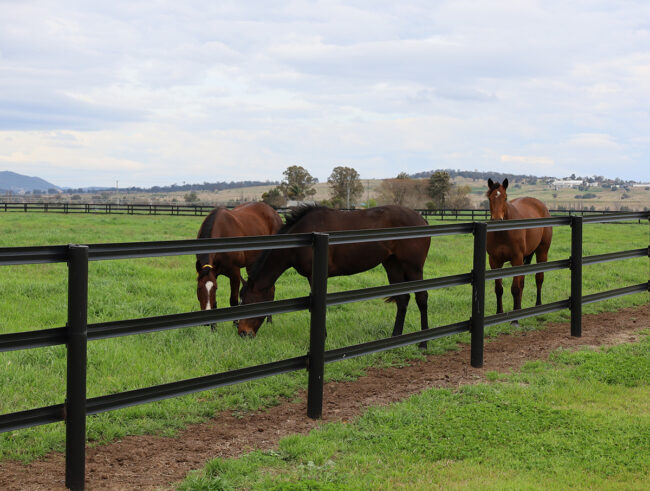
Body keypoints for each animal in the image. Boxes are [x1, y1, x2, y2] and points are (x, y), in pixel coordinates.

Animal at [237, 205, 431, 347]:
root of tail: (422, 219)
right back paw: (395, 337)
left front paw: (322, 338)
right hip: (393, 265)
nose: (243, 333)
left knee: (421, 298)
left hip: (413, 267)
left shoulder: (313, 276)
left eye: (248, 302)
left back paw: (423, 343)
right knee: (403, 299)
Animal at [485, 178, 553, 320]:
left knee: (539, 278)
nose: (497, 220)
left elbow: (515, 288)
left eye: (505, 198)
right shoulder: (494, 261)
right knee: (522, 282)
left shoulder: (516, 259)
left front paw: (514, 321)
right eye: (490, 198)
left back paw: (538, 306)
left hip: (542, 252)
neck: (503, 233)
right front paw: (499, 313)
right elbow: (499, 289)